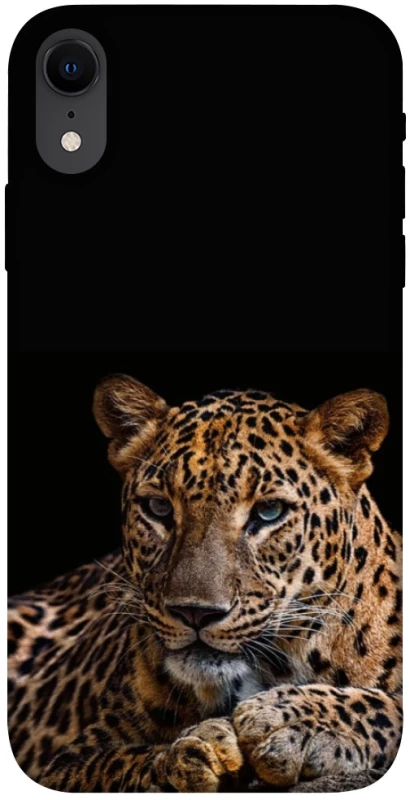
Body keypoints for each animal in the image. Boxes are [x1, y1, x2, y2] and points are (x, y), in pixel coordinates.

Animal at [8, 374, 402, 792]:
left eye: (269, 511)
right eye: (159, 508)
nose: (194, 613)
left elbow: (387, 705)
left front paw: (289, 720)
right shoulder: (66, 764)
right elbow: (124, 765)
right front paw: (195, 754)